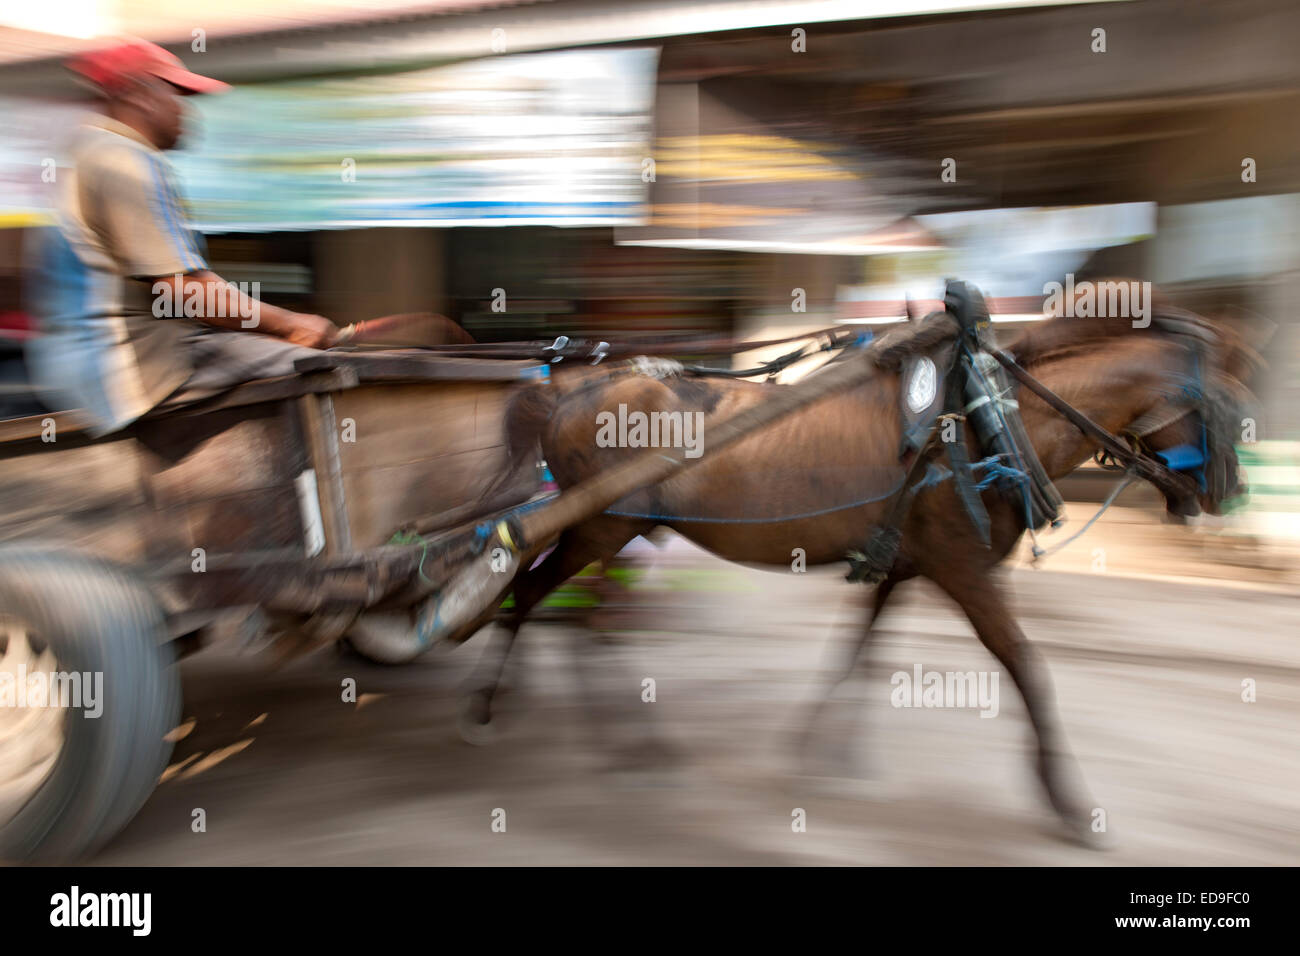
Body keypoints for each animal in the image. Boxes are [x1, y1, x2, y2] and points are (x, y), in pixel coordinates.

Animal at [470, 308, 1258, 842]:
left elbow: (860, 651)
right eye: (1222, 404)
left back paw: (537, 712)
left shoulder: (903, 564)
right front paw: (1066, 802)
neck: (984, 419)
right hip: (601, 528)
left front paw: (821, 747)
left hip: (600, 531)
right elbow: (1027, 667)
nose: (1227, 492)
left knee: (556, 606)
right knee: (568, 609)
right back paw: (589, 730)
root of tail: (570, 392)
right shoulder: (964, 570)